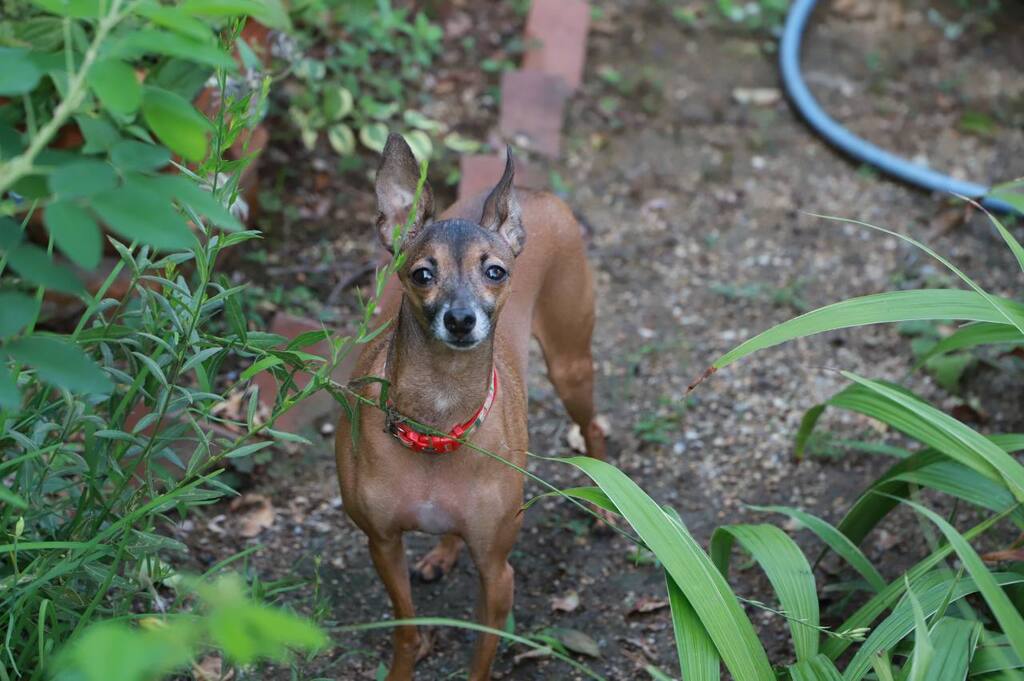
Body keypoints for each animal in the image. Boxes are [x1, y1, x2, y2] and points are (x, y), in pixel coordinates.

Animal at [335, 134, 606, 679]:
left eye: (494, 271)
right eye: (422, 274)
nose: (460, 319)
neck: (438, 424)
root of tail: (533, 192)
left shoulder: (497, 573)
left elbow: (481, 656)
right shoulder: (382, 544)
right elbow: (405, 629)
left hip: (571, 366)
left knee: (594, 429)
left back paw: (604, 509)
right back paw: (443, 552)